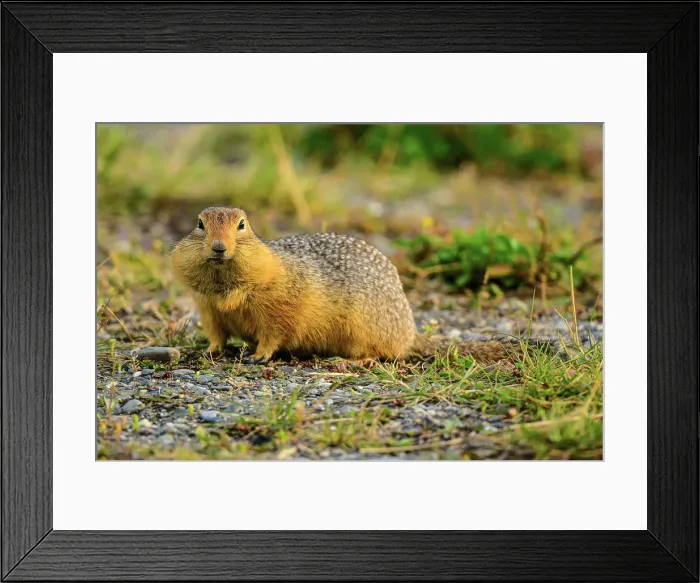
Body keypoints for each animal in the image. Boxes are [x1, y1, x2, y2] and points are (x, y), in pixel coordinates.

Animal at [171, 207, 513, 364]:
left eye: (242, 225)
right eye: (200, 224)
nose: (218, 247)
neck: (225, 286)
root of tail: (410, 333)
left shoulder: (279, 306)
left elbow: (274, 333)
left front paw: (259, 355)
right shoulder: (208, 308)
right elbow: (216, 334)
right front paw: (207, 350)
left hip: (362, 328)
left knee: (378, 353)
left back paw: (346, 360)